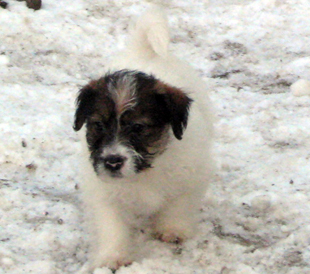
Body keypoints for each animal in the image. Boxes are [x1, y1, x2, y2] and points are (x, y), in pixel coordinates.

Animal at [75, 6, 214, 272]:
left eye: (138, 127)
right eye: (98, 125)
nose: (113, 161)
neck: (146, 171)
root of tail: (144, 51)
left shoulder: (193, 176)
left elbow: (179, 204)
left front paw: (172, 228)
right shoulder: (104, 192)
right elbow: (112, 225)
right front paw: (113, 256)